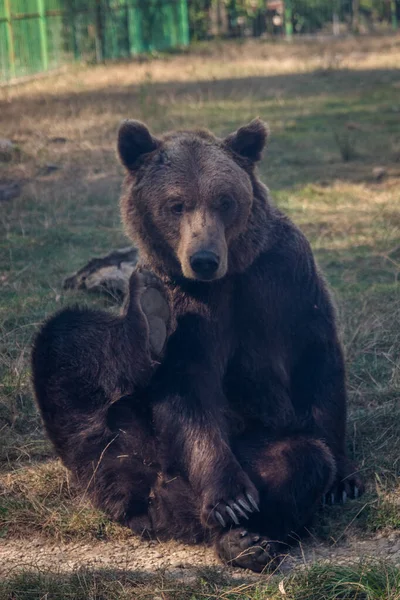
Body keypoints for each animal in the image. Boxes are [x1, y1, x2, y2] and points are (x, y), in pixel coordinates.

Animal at [30, 118, 362, 572]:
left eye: (224, 200)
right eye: (176, 204)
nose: (204, 258)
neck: (231, 273)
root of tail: (165, 507)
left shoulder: (284, 277)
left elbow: (315, 360)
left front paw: (342, 481)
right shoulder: (186, 300)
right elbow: (187, 384)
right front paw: (231, 499)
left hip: (252, 442)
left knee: (301, 459)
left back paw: (245, 538)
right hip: (113, 455)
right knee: (65, 344)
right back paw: (145, 318)